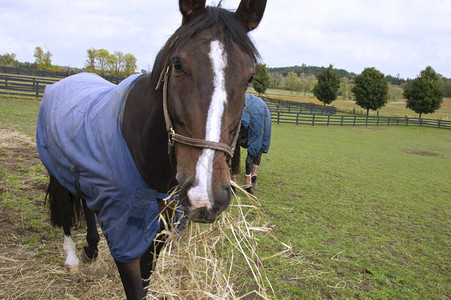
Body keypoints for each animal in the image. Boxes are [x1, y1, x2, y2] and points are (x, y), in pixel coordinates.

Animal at [37, 0, 268, 298]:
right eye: (177, 64)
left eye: (249, 77)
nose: (205, 195)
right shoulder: (124, 235)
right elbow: (135, 288)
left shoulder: (156, 231)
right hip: (56, 172)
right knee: (65, 211)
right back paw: (73, 260)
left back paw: (91, 248)